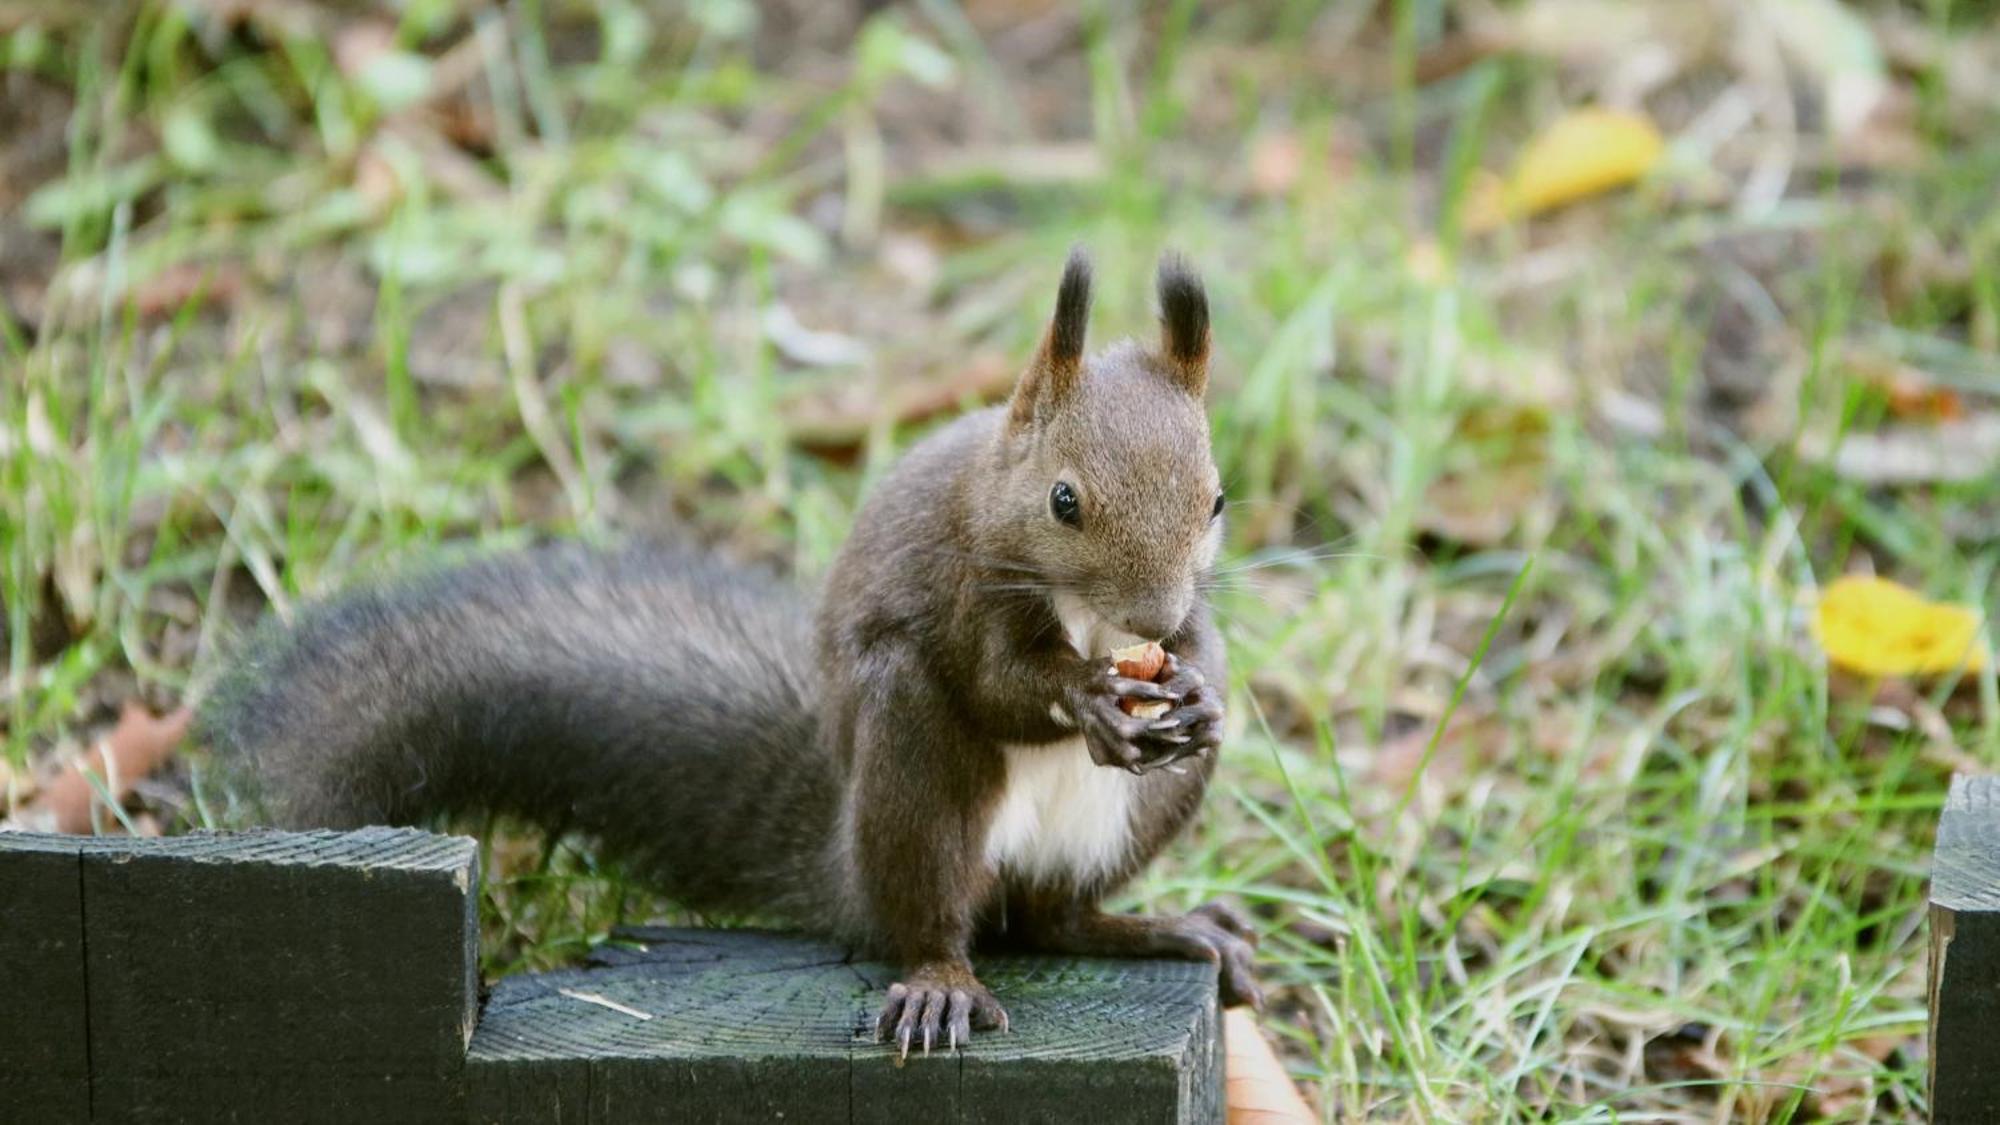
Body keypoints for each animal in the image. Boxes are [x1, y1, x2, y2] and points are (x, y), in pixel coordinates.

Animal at [203, 249, 1264, 1056]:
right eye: (1063, 500)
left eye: (1217, 499)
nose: (1152, 611)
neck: (1094, 621)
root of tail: (847, 865)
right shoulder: (964, 584)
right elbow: (998, 682)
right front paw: (1082, 697)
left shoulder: (1178, 623)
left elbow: (1195, 649)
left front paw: (1201, 699)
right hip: (913, 761)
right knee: (934, 910)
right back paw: (942, 979)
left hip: (1134, 818)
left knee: (1056, 916)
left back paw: (1167, 928)